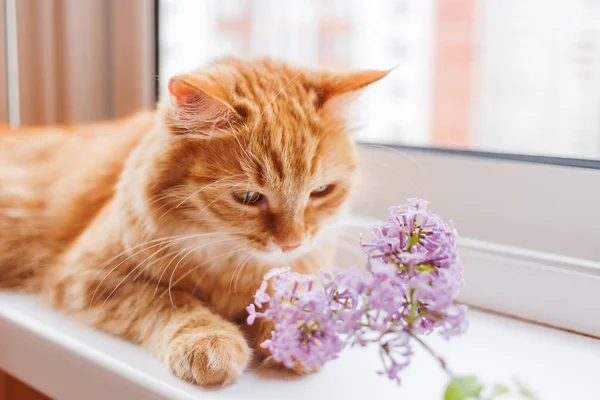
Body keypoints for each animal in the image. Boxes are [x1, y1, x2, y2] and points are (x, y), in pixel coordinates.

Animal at [0, 57, 390, 386]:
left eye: (321, 191)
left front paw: (300, 333)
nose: (291, 242)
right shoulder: (87, 275)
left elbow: (288, 294)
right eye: (248, 197)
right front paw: (210, 341)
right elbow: (171, 301)